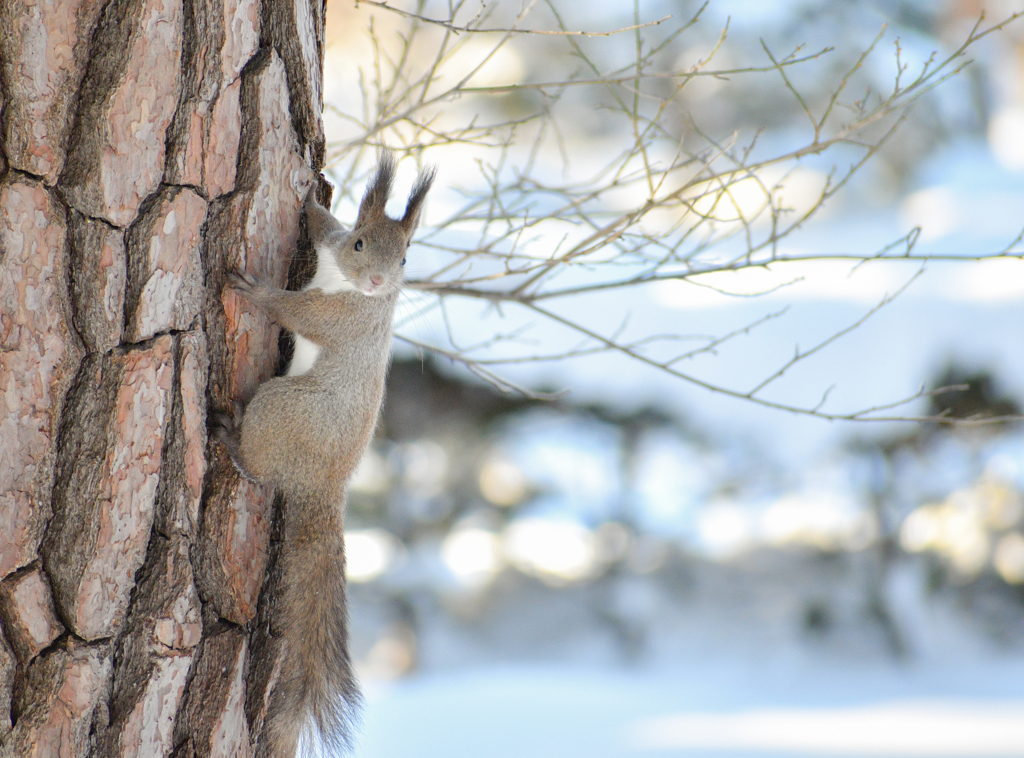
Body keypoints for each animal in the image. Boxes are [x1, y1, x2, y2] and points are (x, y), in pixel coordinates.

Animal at [218, 150, 434, 753]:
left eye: (405, 257)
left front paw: (255, 292)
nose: (379, 280)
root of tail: (326, 484)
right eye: (360, 243)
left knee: (259, 467)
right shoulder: (334, 246)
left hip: (281, 408)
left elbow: (298, 313)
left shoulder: (341, 318)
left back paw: (232, 434)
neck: (349, 287)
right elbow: (322, 226)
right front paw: (312, 197)